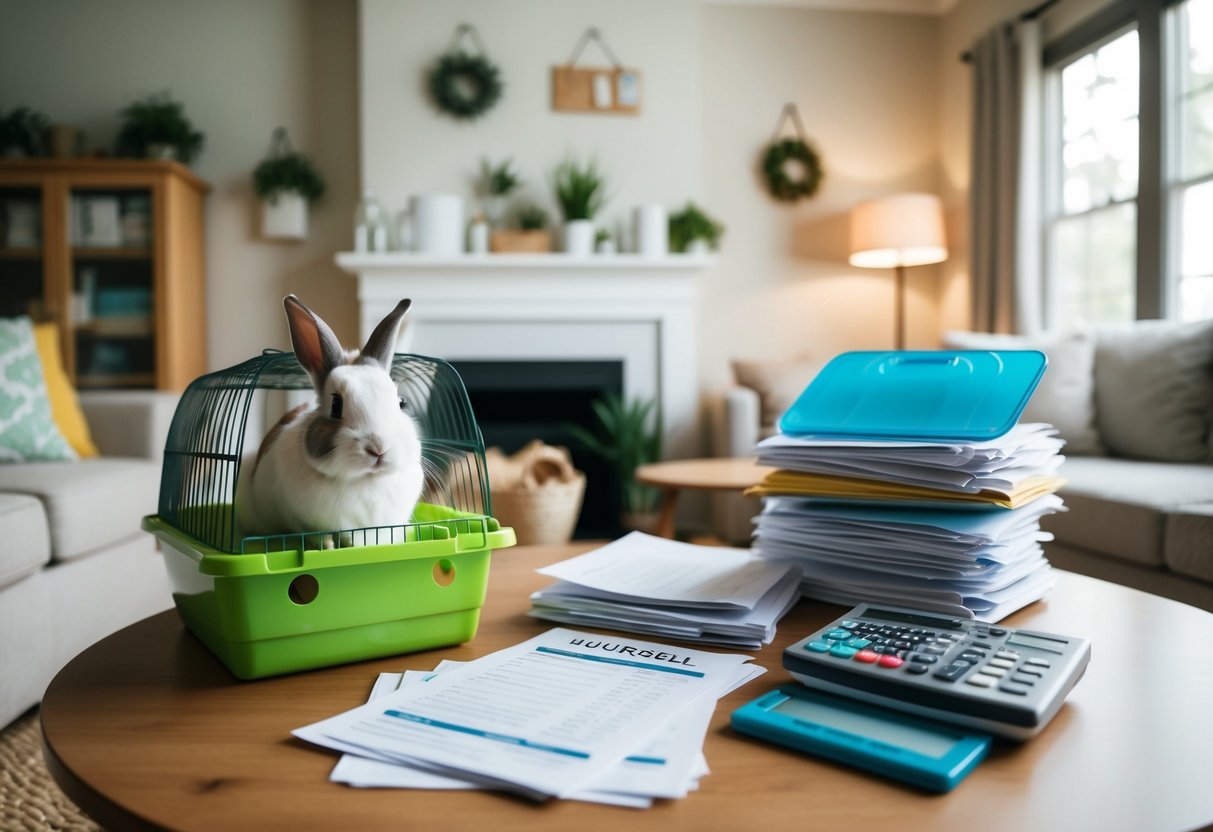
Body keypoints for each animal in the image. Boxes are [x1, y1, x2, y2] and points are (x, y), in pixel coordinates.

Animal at [235, 294, 424, 540]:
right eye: (336, 405)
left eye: (401, 403)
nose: (379, 448)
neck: (363, 480)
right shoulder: (298, 520)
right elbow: (314, 535)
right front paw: (327, 544)